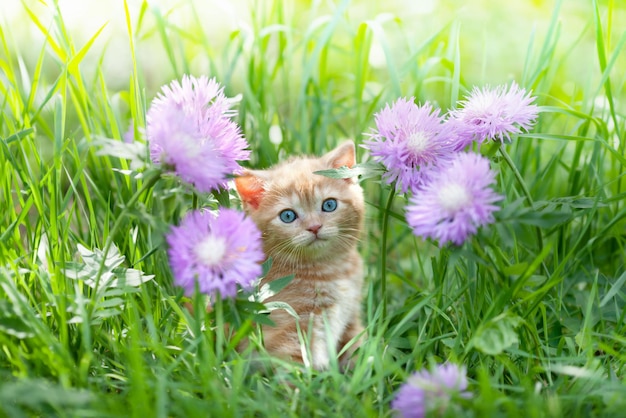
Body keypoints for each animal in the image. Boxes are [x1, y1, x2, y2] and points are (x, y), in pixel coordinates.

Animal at [235, 141, 366, 370]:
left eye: (329, 204)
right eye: (288, 216)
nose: (314, 227)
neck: (330, 270)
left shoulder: (350, 320)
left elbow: (360, 354)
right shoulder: (286, 332)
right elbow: (295, 371)